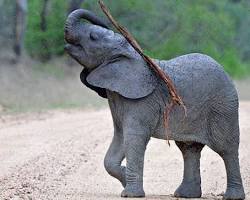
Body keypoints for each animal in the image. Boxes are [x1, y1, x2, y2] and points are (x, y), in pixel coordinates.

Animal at [63, 8, 245, 199]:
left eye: (93, 37)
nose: (106, 20)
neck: (129, 54)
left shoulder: (141, 102)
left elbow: (134, 137)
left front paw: (130, 194)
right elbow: (119, 139)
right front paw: (124, 179)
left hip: (223, 106)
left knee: (226, 149)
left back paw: (232, 196)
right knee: (189, 148)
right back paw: (185, 194)